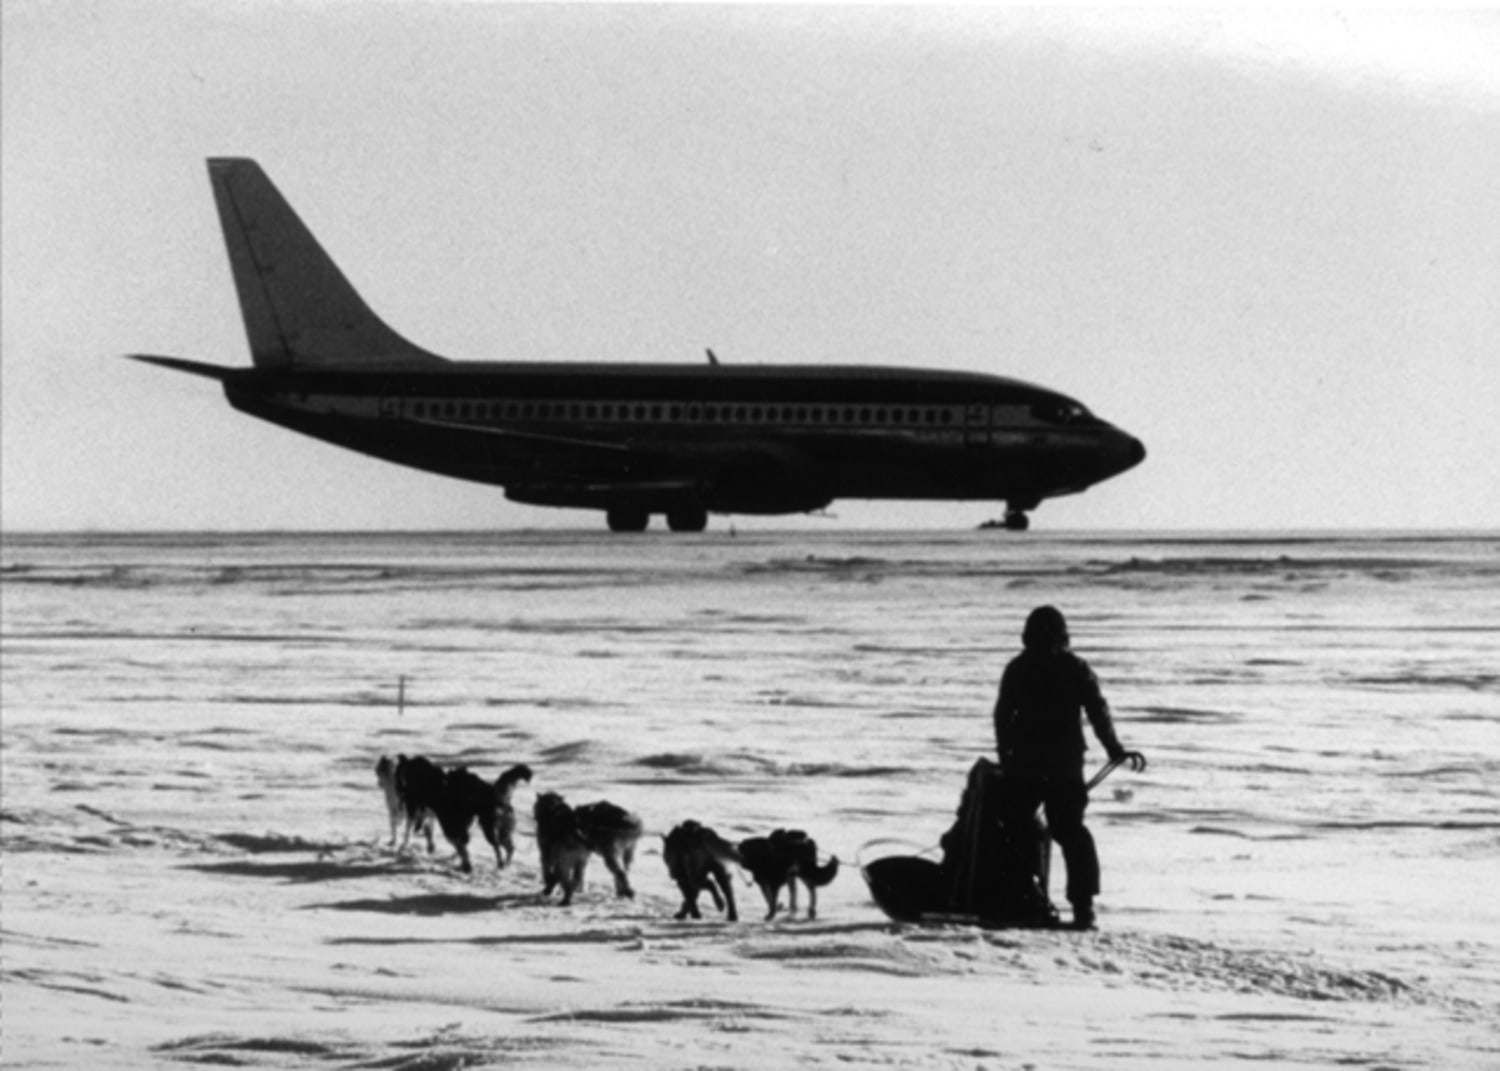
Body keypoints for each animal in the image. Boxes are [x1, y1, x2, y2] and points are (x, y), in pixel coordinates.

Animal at [393, 756, 534, 870]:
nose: (399, 792)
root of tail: (496, 794)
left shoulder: (448, 825)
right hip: (501, 832)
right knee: (510, 848)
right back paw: (505, 864)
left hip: (489, 830)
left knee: (498, 848)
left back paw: (499, 865)